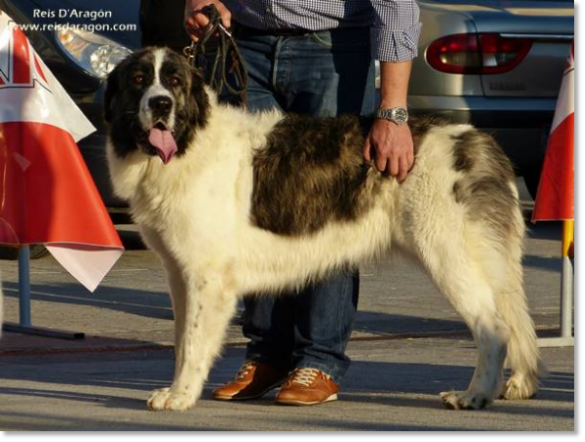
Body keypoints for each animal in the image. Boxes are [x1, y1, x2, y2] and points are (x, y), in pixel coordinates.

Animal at [104, 47, 540, 410]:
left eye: (175, 82)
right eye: (139, 79)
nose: (160, 103)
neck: (189, 143)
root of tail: (478, 142)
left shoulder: (206, 279)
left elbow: (194, 344)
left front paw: (180, 396)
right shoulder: (180, 275)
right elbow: (181, 341)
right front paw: (179, 388)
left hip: (447, 256)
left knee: (494, 329)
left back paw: (474, 395)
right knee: (513, 320)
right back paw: (516, 385)